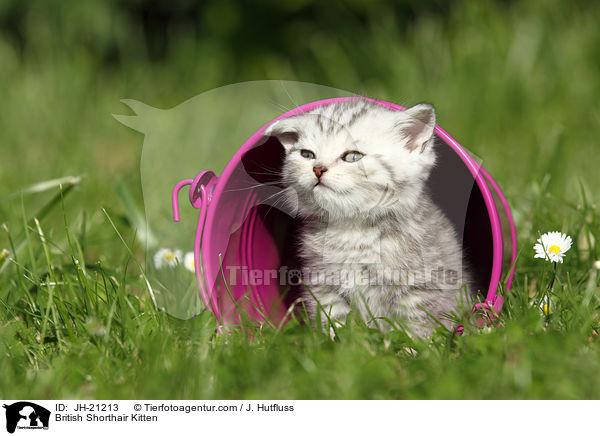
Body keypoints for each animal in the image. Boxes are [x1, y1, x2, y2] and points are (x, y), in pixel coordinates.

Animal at [264, 99, 472, 338]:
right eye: (307, 154)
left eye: (352, 157)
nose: (318, 169)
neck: (352, 230)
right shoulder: (322, 284)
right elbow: (334, 322)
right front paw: (336, 343)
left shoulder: (421, 286)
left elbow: (416, 328)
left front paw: (410, 348)